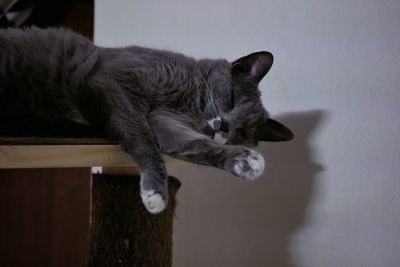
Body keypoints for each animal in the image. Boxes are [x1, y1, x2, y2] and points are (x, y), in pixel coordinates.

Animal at [0, 27, 294, 215]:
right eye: (232, 98)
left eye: (242, 131)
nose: (223, 126)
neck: (189, 99)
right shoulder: (115, 84)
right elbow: (141, 135)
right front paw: (156, 193)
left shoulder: (164, 120)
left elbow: (193, 144)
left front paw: (243, 160)